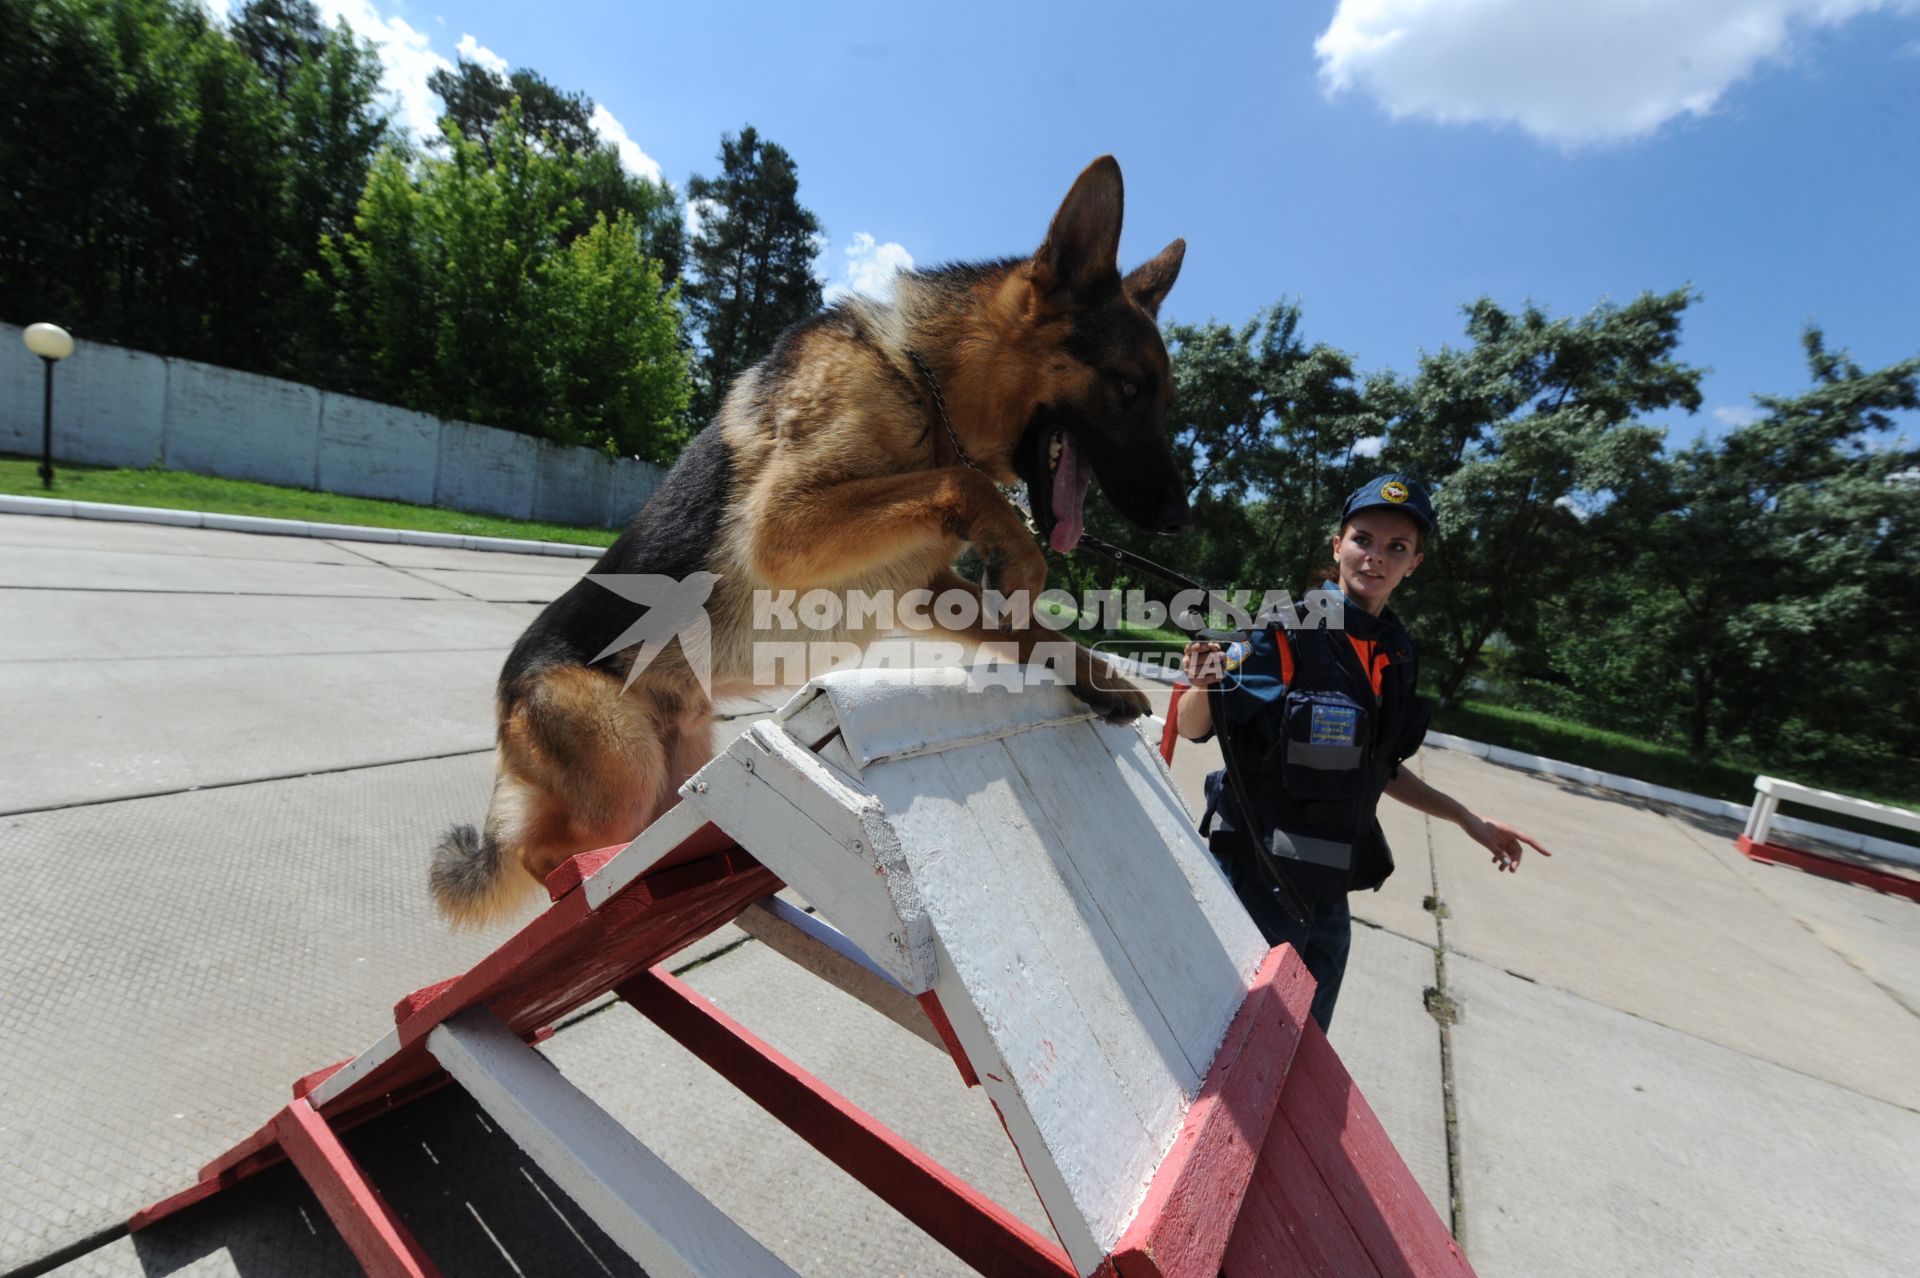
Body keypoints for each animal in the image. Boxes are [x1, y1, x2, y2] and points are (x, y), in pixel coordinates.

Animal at [432, 156, 1198, 924]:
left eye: (1162, 398)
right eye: (1130, 387)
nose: (1178, 517)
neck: (925, 382)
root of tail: (507, 694)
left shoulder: (921, 587)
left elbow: (1035, 629)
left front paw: (1098, 676)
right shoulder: (785, 523)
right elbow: (962, 485)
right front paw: (1022, 557)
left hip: (672, 772)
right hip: (623, 765)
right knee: (537, 850)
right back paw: (582, 875)